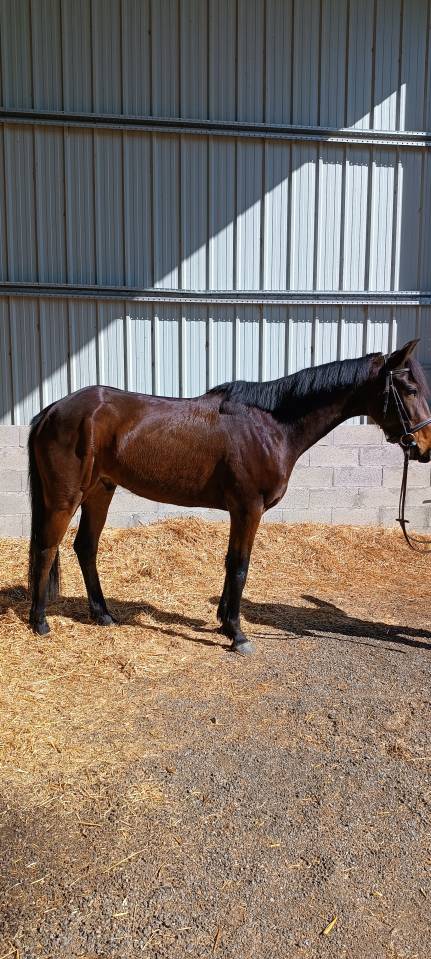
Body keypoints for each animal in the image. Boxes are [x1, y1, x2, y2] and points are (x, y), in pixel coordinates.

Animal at [27, 338, 431, 652]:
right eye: (410, 390)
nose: (424, 447)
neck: (271, 425)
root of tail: (51, 411)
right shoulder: (249, 508)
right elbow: (240, 566)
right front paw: (237, 634)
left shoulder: (240, 510)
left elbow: (229, 562)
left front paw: (223, 621)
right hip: (65, 496)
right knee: (47, 548)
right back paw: (39, 621)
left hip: (101, 490)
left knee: (85, 547)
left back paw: (103, 614)